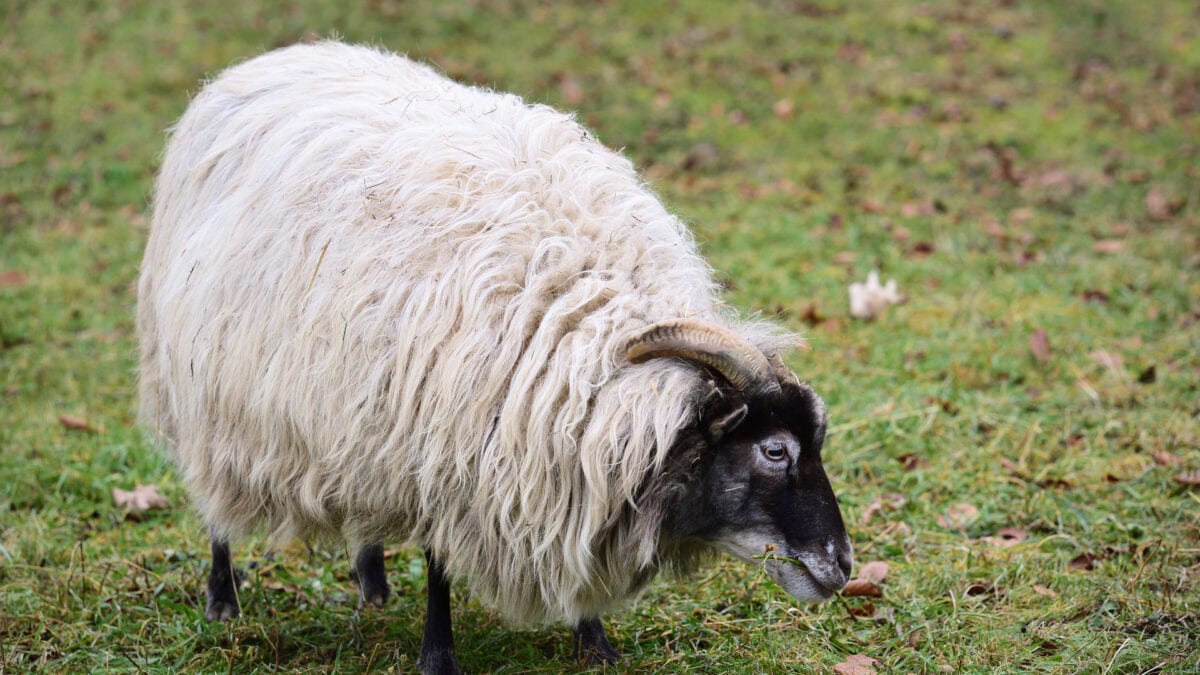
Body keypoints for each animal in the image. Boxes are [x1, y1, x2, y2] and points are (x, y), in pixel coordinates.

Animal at [138, 42, 854, 672]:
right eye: (775, 450)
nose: (845, 567)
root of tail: (273, 57)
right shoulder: (445, 449)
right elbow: (438, 563)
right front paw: (438, 656)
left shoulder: (551, 460)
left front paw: (594, 642)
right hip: (199, 381)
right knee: (212, 499)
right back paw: (223, 600)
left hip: (355, 409)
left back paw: (372, 586)